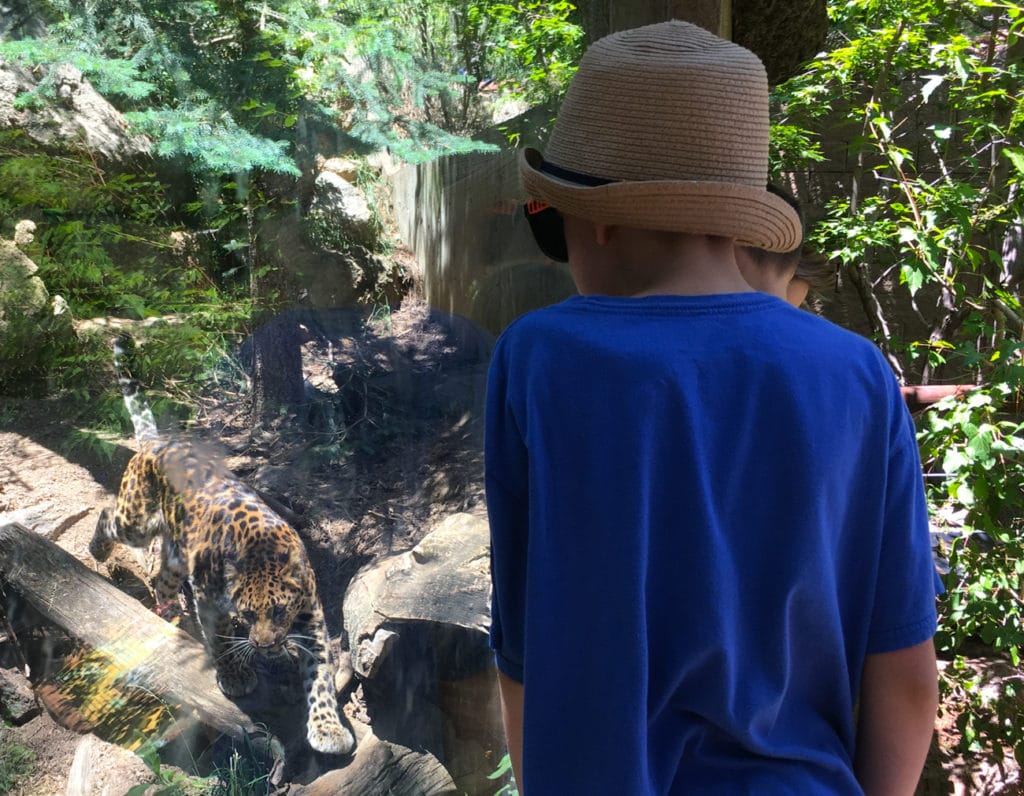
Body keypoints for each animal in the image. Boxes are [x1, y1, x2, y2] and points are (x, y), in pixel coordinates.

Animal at [92, 331, 356, 753]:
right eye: (248, 614)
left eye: (279, 612)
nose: (265, 645)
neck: (261, 552)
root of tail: (157, 443)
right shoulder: (209, 599)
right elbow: (218, 640)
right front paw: (234, 675)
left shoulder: (311, 612)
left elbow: (320, 674)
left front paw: (327, 727)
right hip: (137, 520)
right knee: (108, 516)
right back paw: (97, 549)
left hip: (175, 552)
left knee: (161, 579)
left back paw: (169, 614)